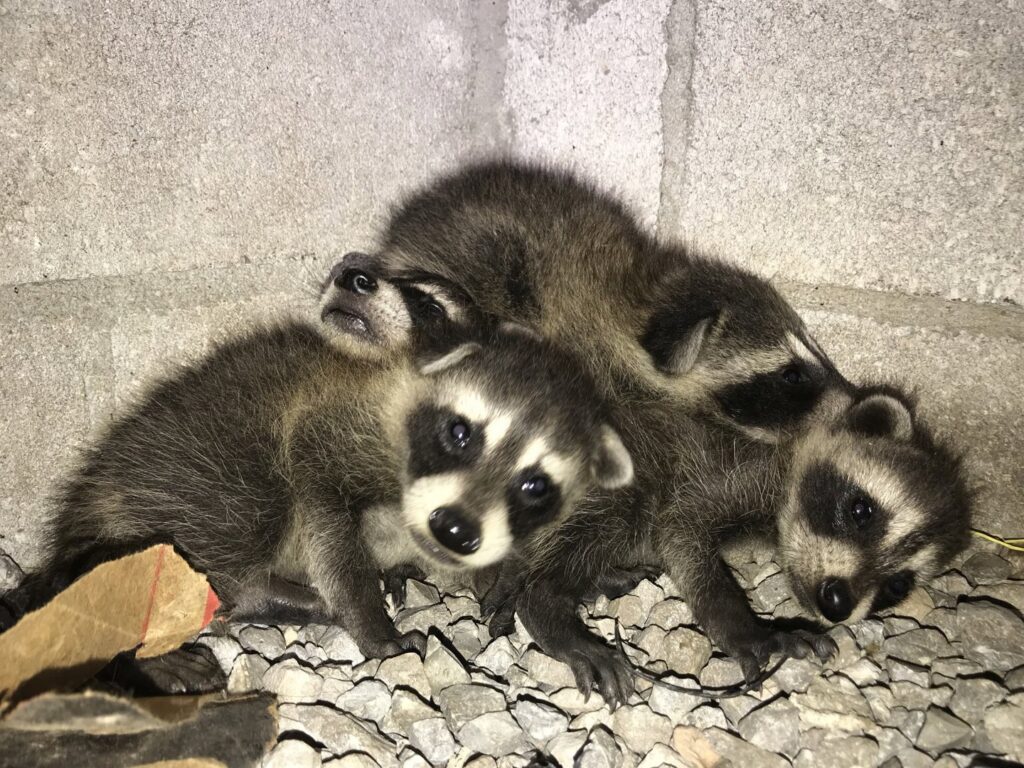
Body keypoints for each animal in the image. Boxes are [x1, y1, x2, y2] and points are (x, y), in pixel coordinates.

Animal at [0, 322, 633, 667]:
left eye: (535, 484)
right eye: (460, 433)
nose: (455, 528)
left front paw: (524, 586)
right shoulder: (327, 429)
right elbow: (322, 510)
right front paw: (370, 621)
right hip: (197, 465)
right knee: (239, 517)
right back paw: (267, 595)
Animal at [511, 383, 972, 705]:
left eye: (898, 585)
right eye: (862, 510)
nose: (837, 602)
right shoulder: (727, 475)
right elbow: (681, 531)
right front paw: (748, 631)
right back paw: (549, 606)